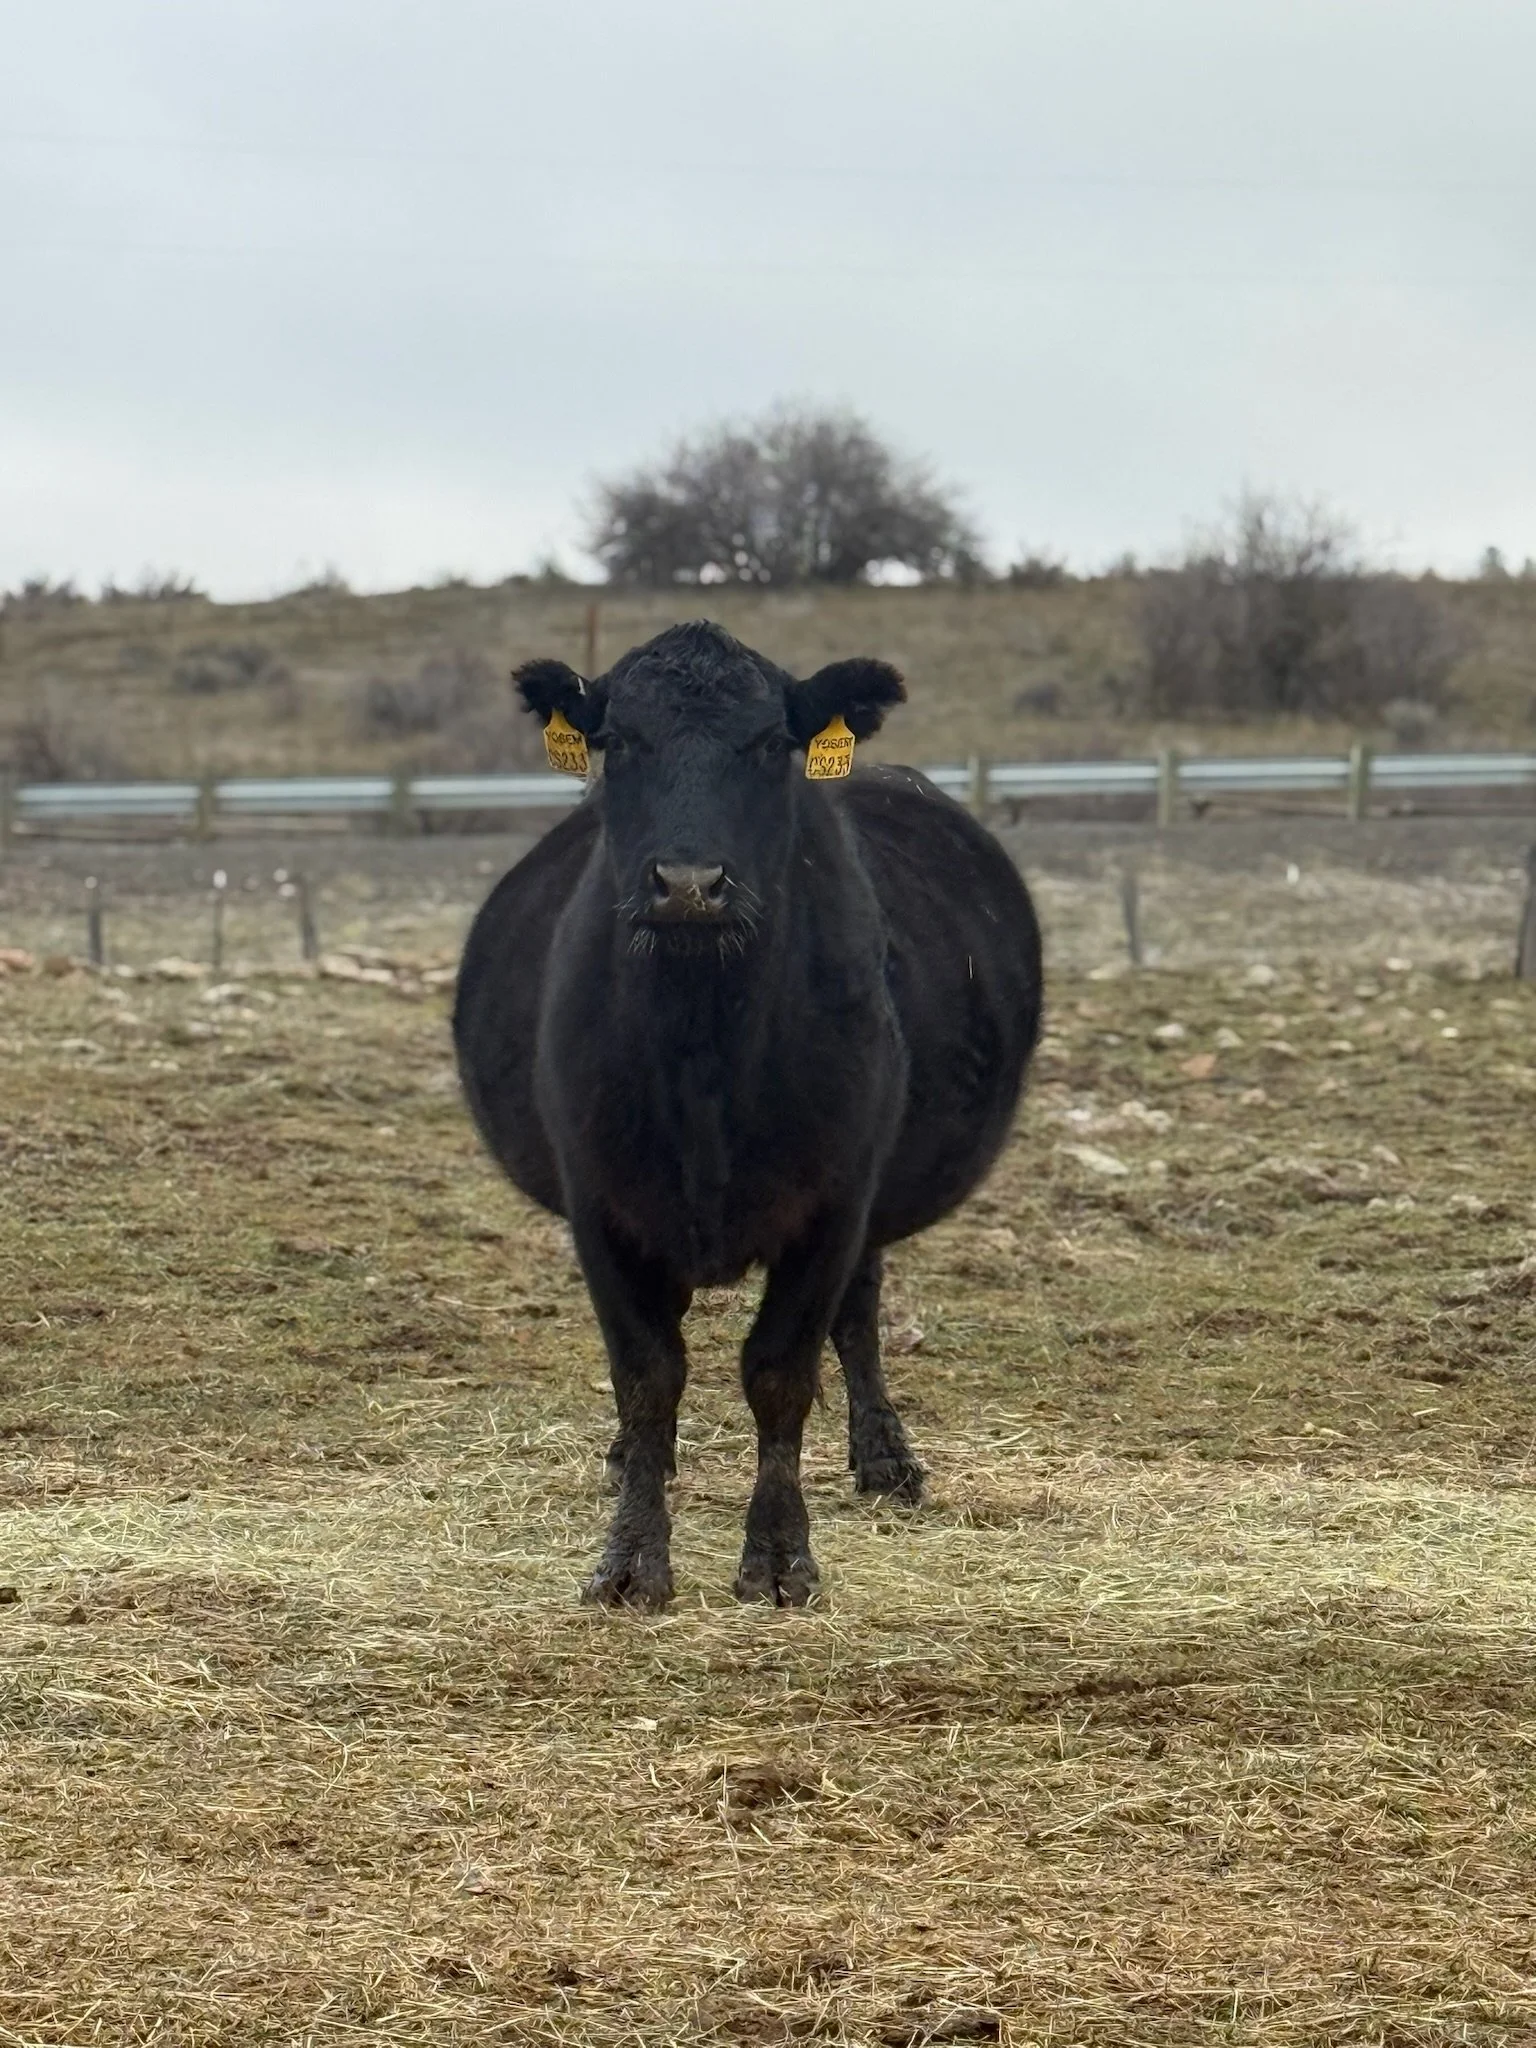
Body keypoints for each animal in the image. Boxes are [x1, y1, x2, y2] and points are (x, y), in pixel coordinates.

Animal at [454, 621, 1042, 1608]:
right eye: (618, 741)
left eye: (772, 744)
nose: (689, 883)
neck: (703, 1054)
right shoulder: (599, 1201)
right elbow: (647, 1374)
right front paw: (630, 1559)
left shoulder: (835, 1200)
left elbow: (780, 1372)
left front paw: (777, 1556)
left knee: (859, 1316)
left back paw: (886, 1461)